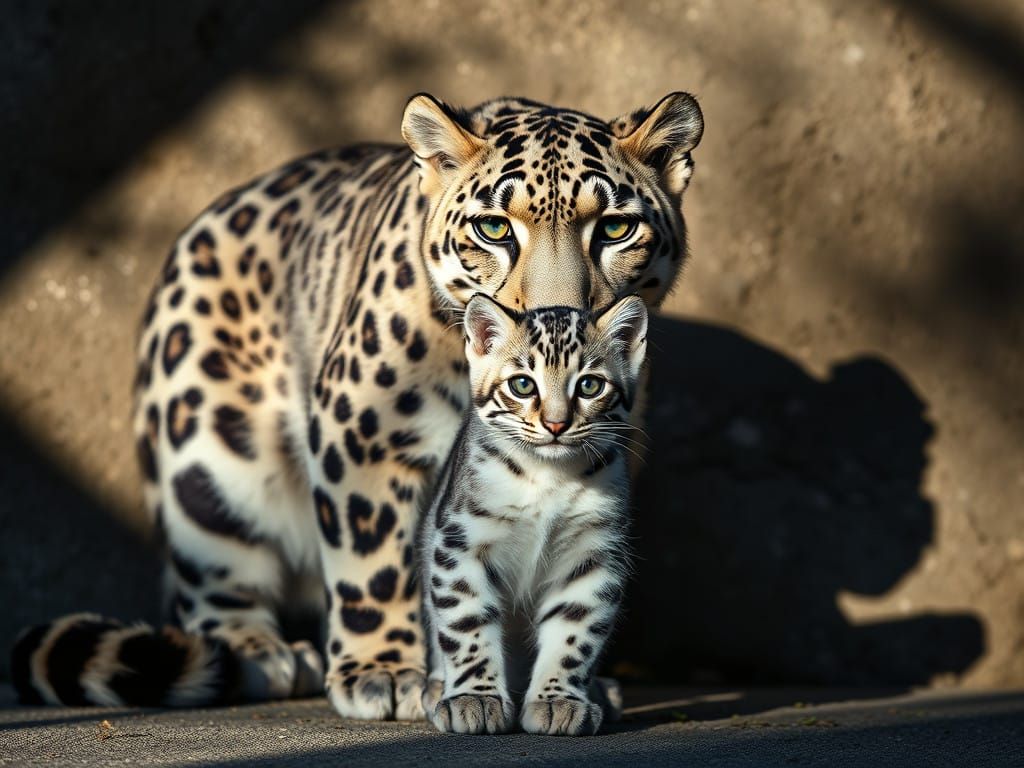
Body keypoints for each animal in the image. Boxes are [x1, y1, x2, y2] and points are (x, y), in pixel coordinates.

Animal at [420, 293, 647, 735]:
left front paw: (558, 700)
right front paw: (475, 698)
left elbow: (576, 631)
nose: (556, 424)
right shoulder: (460, 543)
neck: (548, 479)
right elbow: (467, 621)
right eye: (522, 384)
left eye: (590, 384)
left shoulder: (595, 551)